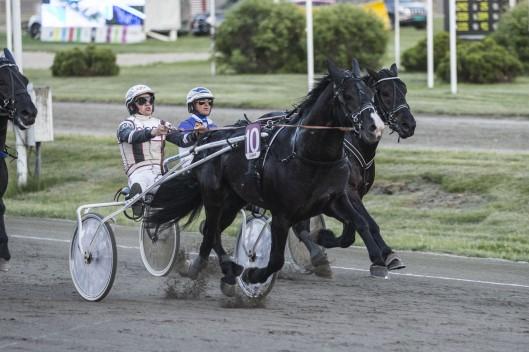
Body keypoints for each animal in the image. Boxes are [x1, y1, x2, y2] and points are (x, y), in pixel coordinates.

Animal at [147, 60, 384, 294]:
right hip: (213, 196)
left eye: (371, 95)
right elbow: (276, 259)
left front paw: (359, 250)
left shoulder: (333, 199)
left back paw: (227, 271)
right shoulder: (282, 213)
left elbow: (357, 225)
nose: (376, 127)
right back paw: (203, 267)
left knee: (211, 229)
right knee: (210, 230)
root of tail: (206, 140)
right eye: (347, 96)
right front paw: (253, 274)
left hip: (234, 200)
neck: (309, 155)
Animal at [290, 63, 414, 274]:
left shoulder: (353, 194)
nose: (409, 124)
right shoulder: (348, 192)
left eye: (404, 89)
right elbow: (368, 223)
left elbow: (352, 225)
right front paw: (385, 255)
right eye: (385, 93)